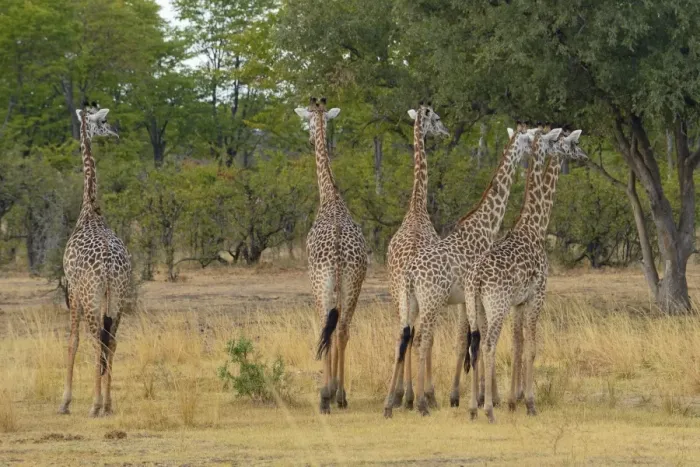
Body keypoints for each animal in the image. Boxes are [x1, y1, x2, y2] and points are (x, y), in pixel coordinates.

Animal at [383, 123, 537, 418]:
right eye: (528, 138)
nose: (533, 149)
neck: (484, 225)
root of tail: (409, 273)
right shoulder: (474, 298)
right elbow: (473, 340)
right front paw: (481, 398)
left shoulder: (466, 300)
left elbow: (468, 341)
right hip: (430, 303)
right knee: (420, 340)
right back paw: (419, 401)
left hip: (407, 300)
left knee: (404, 337)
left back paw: (395, 401)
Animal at [463, 128, 586, 423]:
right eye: (574, 143)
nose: (585, 156)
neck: (535, 227)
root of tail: (476, 279)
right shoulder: (537, 295)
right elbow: (531, 347)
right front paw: (529, 403)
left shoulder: (518, 302)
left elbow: (517, 345)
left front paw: (512, 401)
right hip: (496, 305)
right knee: (488, 345)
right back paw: (488, 410)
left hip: (475, 307)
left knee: (474, 346)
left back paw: (473, 408)